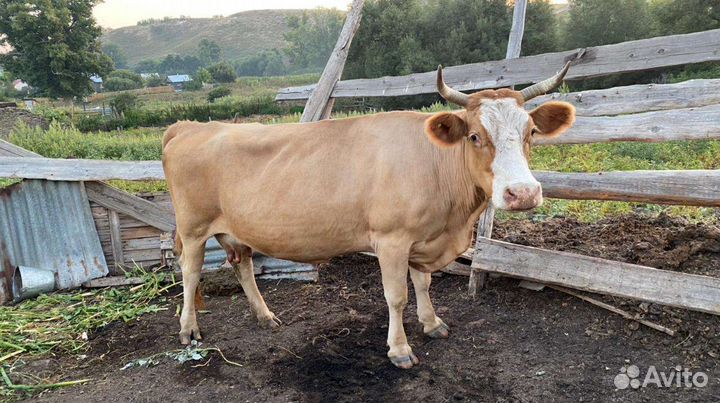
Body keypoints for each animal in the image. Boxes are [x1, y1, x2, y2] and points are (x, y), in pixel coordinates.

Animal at [162, 63, 576, 369]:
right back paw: (188, 330)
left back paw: (264, 316)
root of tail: (190, 127)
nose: (523, 193)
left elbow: (424, 284)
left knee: (242, 265)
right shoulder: (392, 239)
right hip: (193, 227)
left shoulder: (423, 238)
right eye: (474, 136)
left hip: (236, 229)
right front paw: (400, 350)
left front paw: (432, 324)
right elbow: (396, 296)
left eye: (532, 131)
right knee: (190, 271)